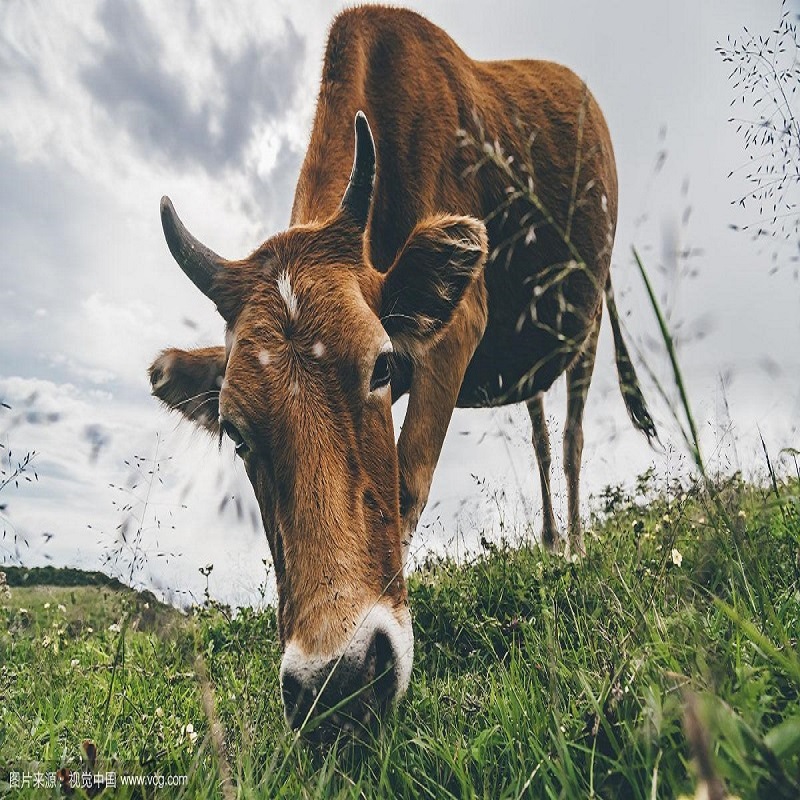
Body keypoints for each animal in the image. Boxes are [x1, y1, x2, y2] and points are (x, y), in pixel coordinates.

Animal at [150, 6, 656, 740]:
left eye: (382, 366)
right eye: (236, 432)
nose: (336, 685)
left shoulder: (458, 328)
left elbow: (409, 479)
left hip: (584, 320)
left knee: (571, 439)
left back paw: (573, 548)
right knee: (539, 432)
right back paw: (548, 541)